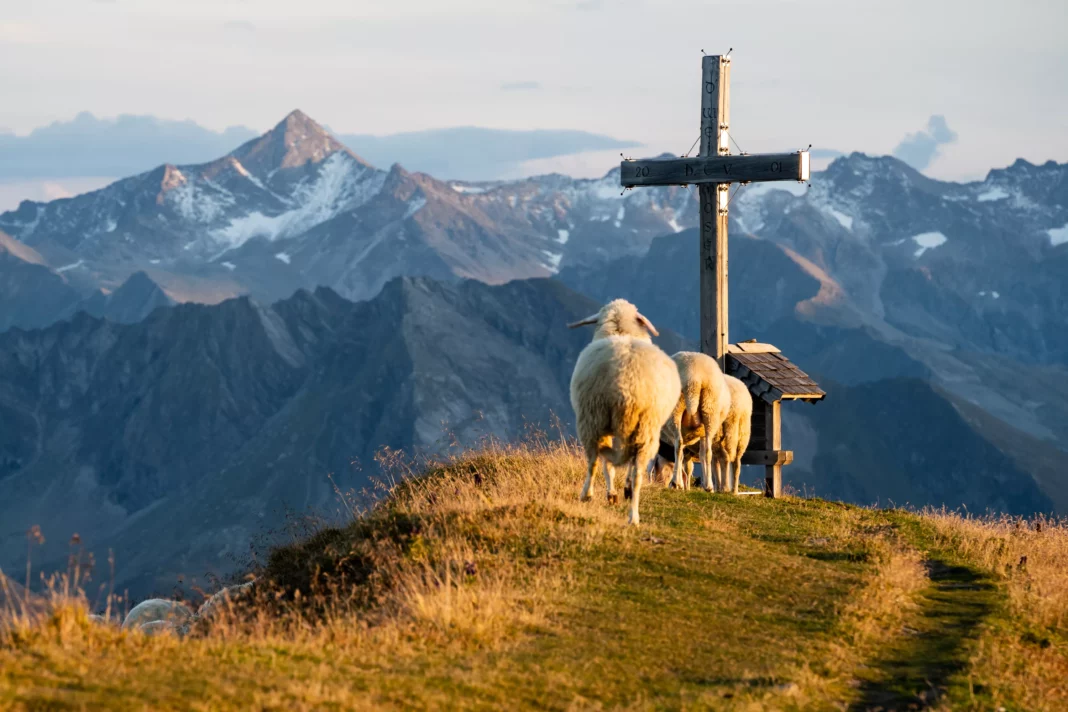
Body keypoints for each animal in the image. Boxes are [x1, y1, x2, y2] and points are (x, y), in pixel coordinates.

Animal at [572, 298, 679, 527]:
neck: (622, 331)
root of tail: (626, 386)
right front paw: (622, 489)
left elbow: (607, 465)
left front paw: (612, 493)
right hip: (645, 427)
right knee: (637, 471)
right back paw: (633, 515)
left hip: (593, 418)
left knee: (594, 460)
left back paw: (588, 494)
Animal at [662, 354, 730, 493]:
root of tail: (694, 377)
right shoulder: (700, 432)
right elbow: (701, 454)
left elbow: (680, 456)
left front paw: (680, 484)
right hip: (710, 411)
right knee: (708, 452)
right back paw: (709, 486)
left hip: (675, 410)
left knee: (678, 444)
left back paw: (675, 483)